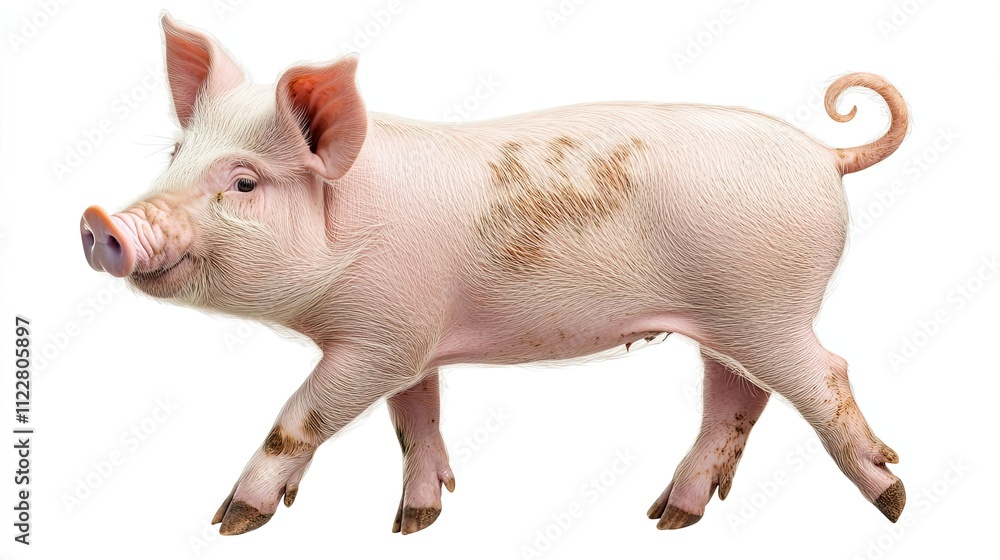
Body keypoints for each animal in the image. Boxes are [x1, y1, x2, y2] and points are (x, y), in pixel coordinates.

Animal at [79, 14, 909, 536]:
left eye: (245, 183)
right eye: (173, 155)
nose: (100, 222)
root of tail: (825, 154)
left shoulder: (378, 338)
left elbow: (299, 419)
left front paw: (232, 523)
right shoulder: (411, 340)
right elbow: (415, 419)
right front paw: (414, 524)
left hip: (767, 305)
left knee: (825, 374)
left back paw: (893, 500)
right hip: (730, 318)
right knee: (737, 397)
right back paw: (668, 518)